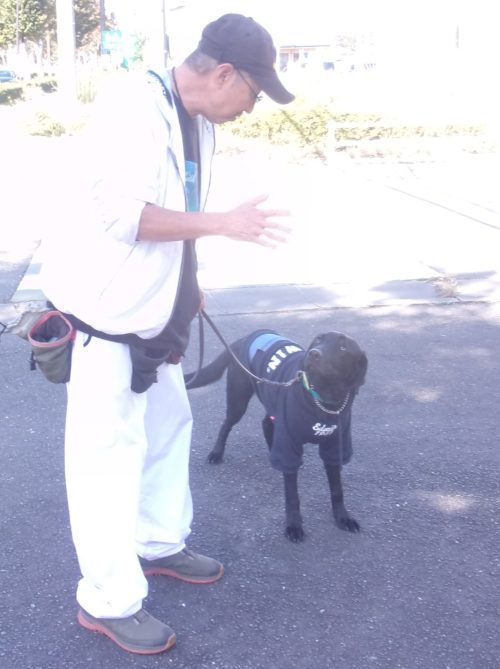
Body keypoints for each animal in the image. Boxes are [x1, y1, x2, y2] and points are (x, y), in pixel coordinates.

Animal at [185, 329, 368, 542]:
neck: (324, 399)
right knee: (226, 425)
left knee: (266, 423)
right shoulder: (288, 443)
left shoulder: (335, 446)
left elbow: (337, 489)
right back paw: (216, 453)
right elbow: (292, 496)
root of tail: (241, 340)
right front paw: (294, 526)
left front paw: (343, 518)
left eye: (343, 347)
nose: (314, 354)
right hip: (239, 399)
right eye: (318, 340)